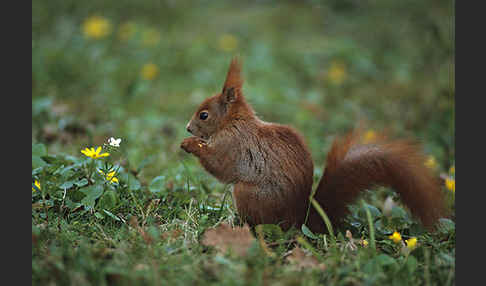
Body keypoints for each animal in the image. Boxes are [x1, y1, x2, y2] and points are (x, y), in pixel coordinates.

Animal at [181, 57, 448, 233]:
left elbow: (220, 165)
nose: (187, 128)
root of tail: (299, 220)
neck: (233, 122)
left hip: (248, 194)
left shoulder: (233, 144)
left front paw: (191, 144)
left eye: (204, 115)